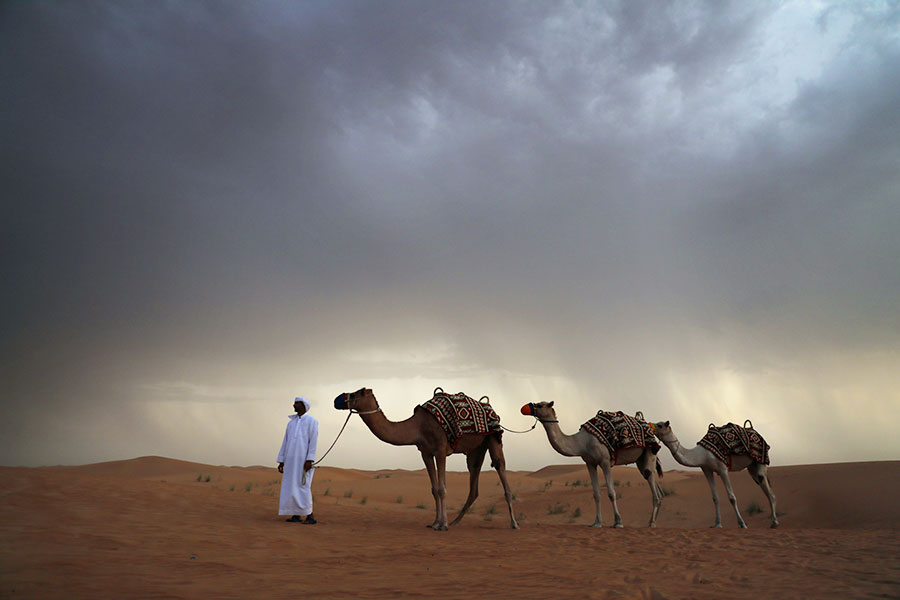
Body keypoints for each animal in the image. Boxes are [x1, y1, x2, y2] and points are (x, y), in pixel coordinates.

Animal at [334, 390, 520, 528]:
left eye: (355, 394)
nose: (337, 400)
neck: (418, 426)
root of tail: (489, 407)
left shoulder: (440, 449)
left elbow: (442, 489)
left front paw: (442, 525)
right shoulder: (426, 453)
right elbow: (434, 489)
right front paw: (435, 523)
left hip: (493, 438)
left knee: (500, 467)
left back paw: (514, 523)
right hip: (476, 448)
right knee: (474, 480)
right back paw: (455, 521)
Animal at [520, 400, 660, 528]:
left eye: (540, 405)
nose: (524, 407)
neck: (582, 442)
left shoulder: (605, 461)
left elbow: (611, 493)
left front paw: (618, 522)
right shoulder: (590, 463)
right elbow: (596, 494)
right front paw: (597, 523)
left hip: (650, 452)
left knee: (651, 479)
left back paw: (652, 523)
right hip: (640, 460)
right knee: (654, 484)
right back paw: (652, 520)